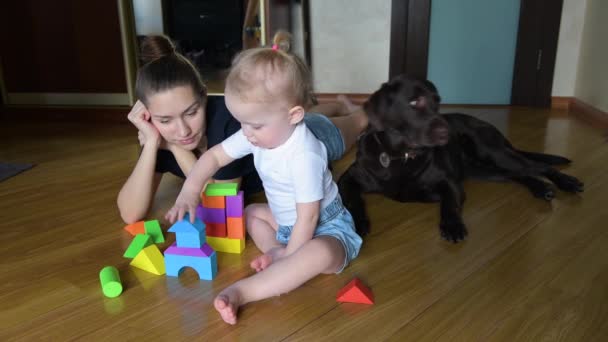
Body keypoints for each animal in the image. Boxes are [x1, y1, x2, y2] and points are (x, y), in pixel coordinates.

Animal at [340, 74, 580, 243]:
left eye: (438, 102)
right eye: (414, 102)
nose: (448, 132)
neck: (399, 156)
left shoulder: (450, 183)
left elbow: (449, 203)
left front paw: (452, 226)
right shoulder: (348, 178)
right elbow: (352, 199)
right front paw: (357, 223)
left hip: (493, 151)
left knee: (537, 166)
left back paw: (567, 182)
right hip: (483, 170)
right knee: (517, 174)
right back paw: (542, 188)